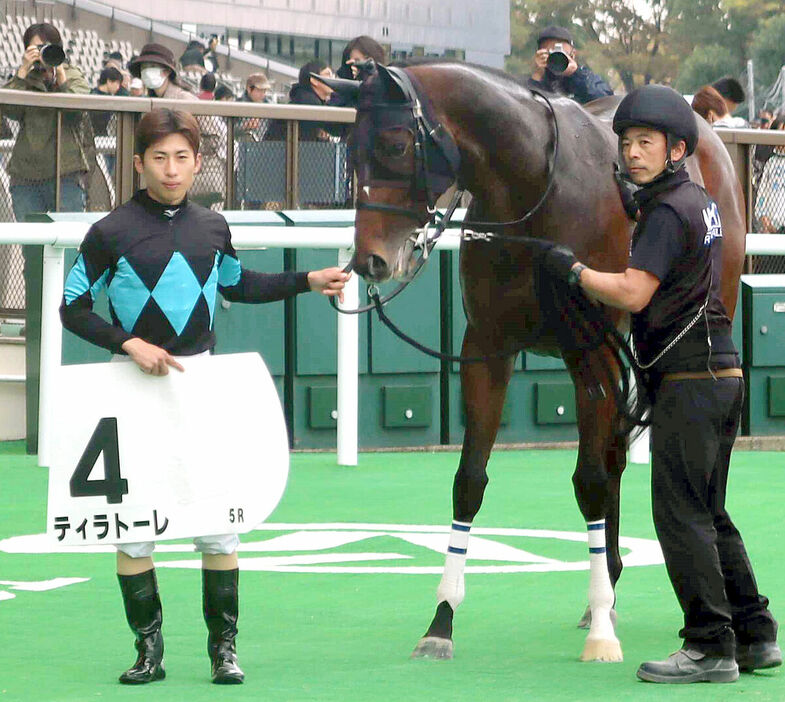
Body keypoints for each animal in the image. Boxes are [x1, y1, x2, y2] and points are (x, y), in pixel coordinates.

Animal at [328, 60, 744, 664]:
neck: (532, 192)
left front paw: (601, 636)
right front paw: (441, 621)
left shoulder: (589, 348)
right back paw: (607, 586)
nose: (371, 261)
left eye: (396, 143)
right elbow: (469, 481)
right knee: (615, 454)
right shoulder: (486, 349)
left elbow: (588, 481)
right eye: (349, 152)